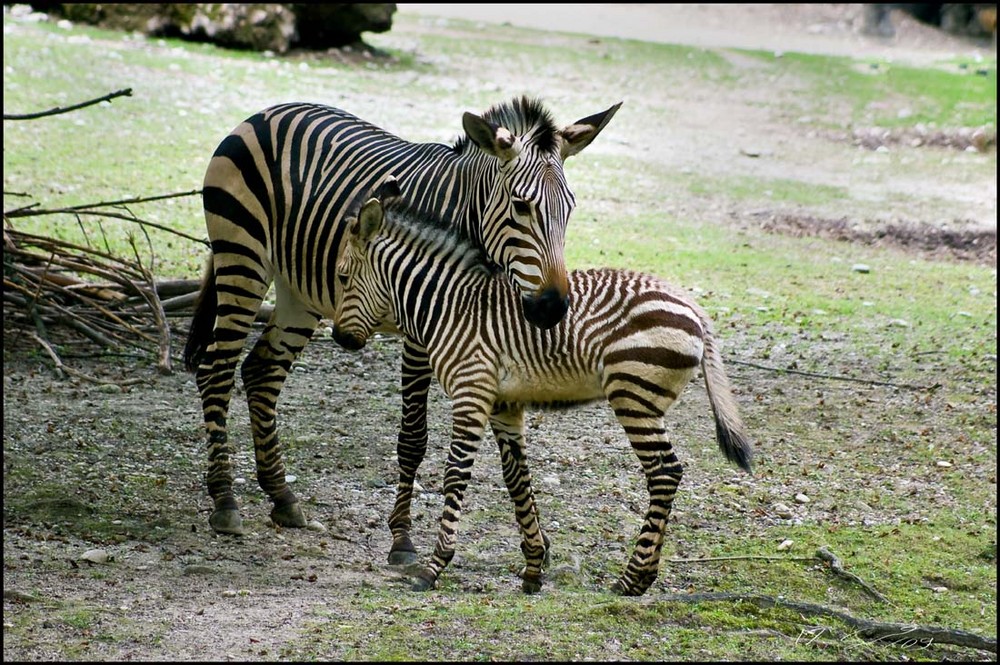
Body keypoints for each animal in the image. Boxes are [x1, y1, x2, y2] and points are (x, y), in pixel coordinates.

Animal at [179, 97, 616, 544]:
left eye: (570, 208)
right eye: (521, 206)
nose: (552, 308)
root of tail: (266, 112)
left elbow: (508, 442)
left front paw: (537, 540)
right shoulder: (422, 329)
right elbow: (414, 437)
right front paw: (402, 539)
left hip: (298, 290)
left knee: (261, 371)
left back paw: (282, 495)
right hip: (242, 258)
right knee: (216, 370)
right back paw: (224, 498)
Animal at [332, 184, 752, 592]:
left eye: (343, 277)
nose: (338, 338)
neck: (451, 306)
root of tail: (692, 306)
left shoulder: (471, 393)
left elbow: (456, 472)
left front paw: (434, 567)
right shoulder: (504, 403)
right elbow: (517, 478)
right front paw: (534, 568)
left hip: (633, 396)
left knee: (665, 472)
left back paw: (632, 579)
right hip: (642, 399)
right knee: (667, 472)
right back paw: (641, 576)